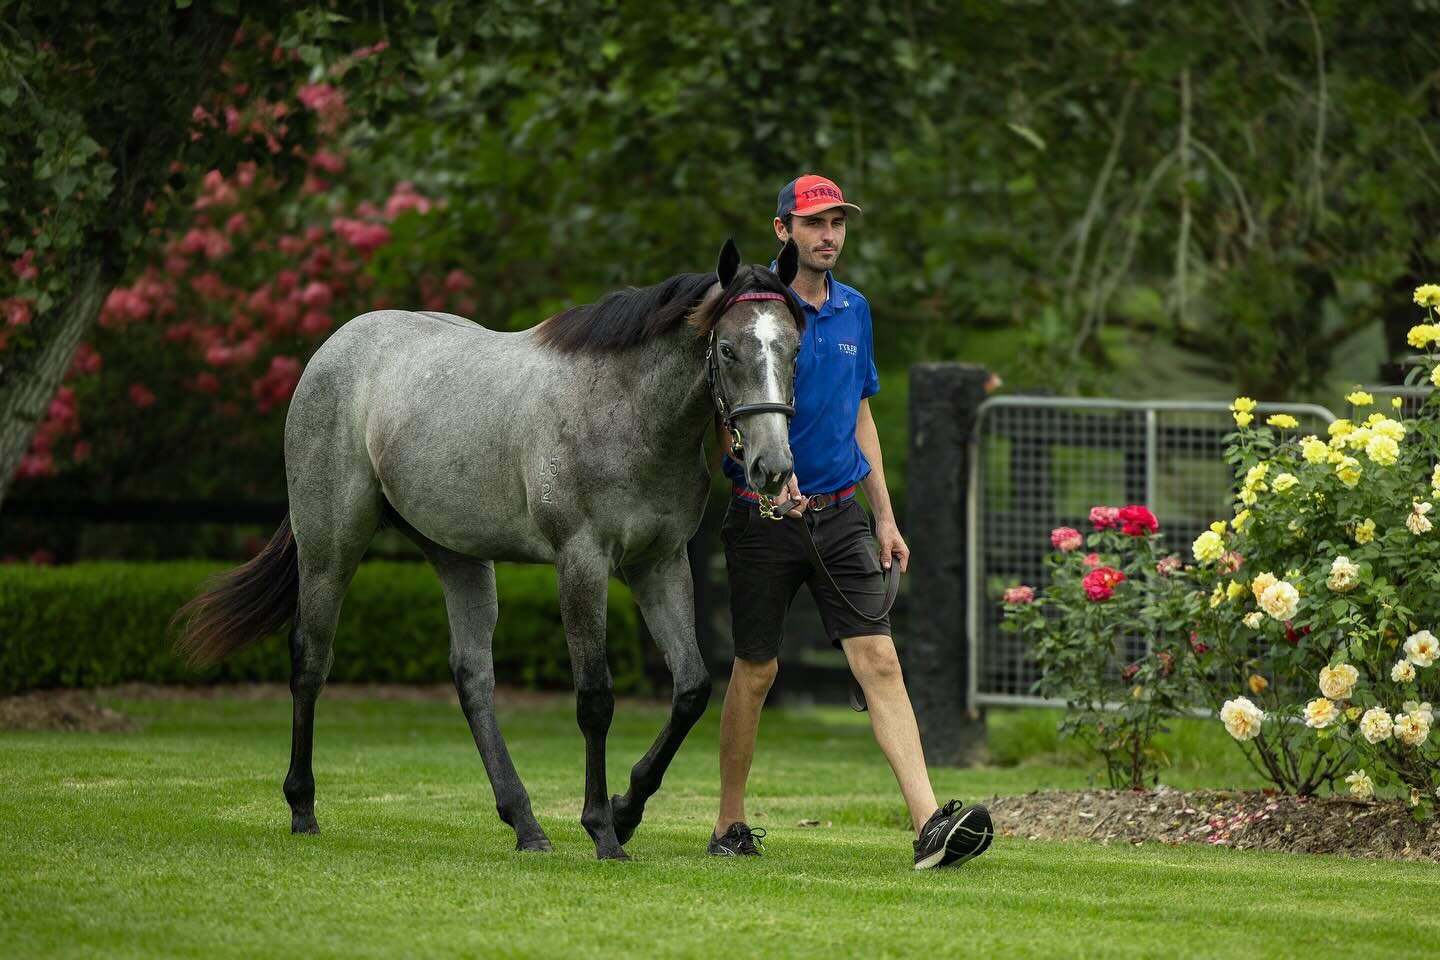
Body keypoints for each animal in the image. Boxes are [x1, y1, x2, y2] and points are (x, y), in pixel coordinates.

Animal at [174, 240, 806, 863]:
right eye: (728, 349)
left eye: (796, 349)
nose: (772, 468)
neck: (624, 412)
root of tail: (334, 349)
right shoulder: (582, 563)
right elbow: (595, 699)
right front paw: (603, 831)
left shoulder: (659, 564)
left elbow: (692, 689)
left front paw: (626, 812)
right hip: (330, 544)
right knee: (311, 659)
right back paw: (303, 808)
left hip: (458, 555)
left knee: (472, 675)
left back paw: (525, 824)